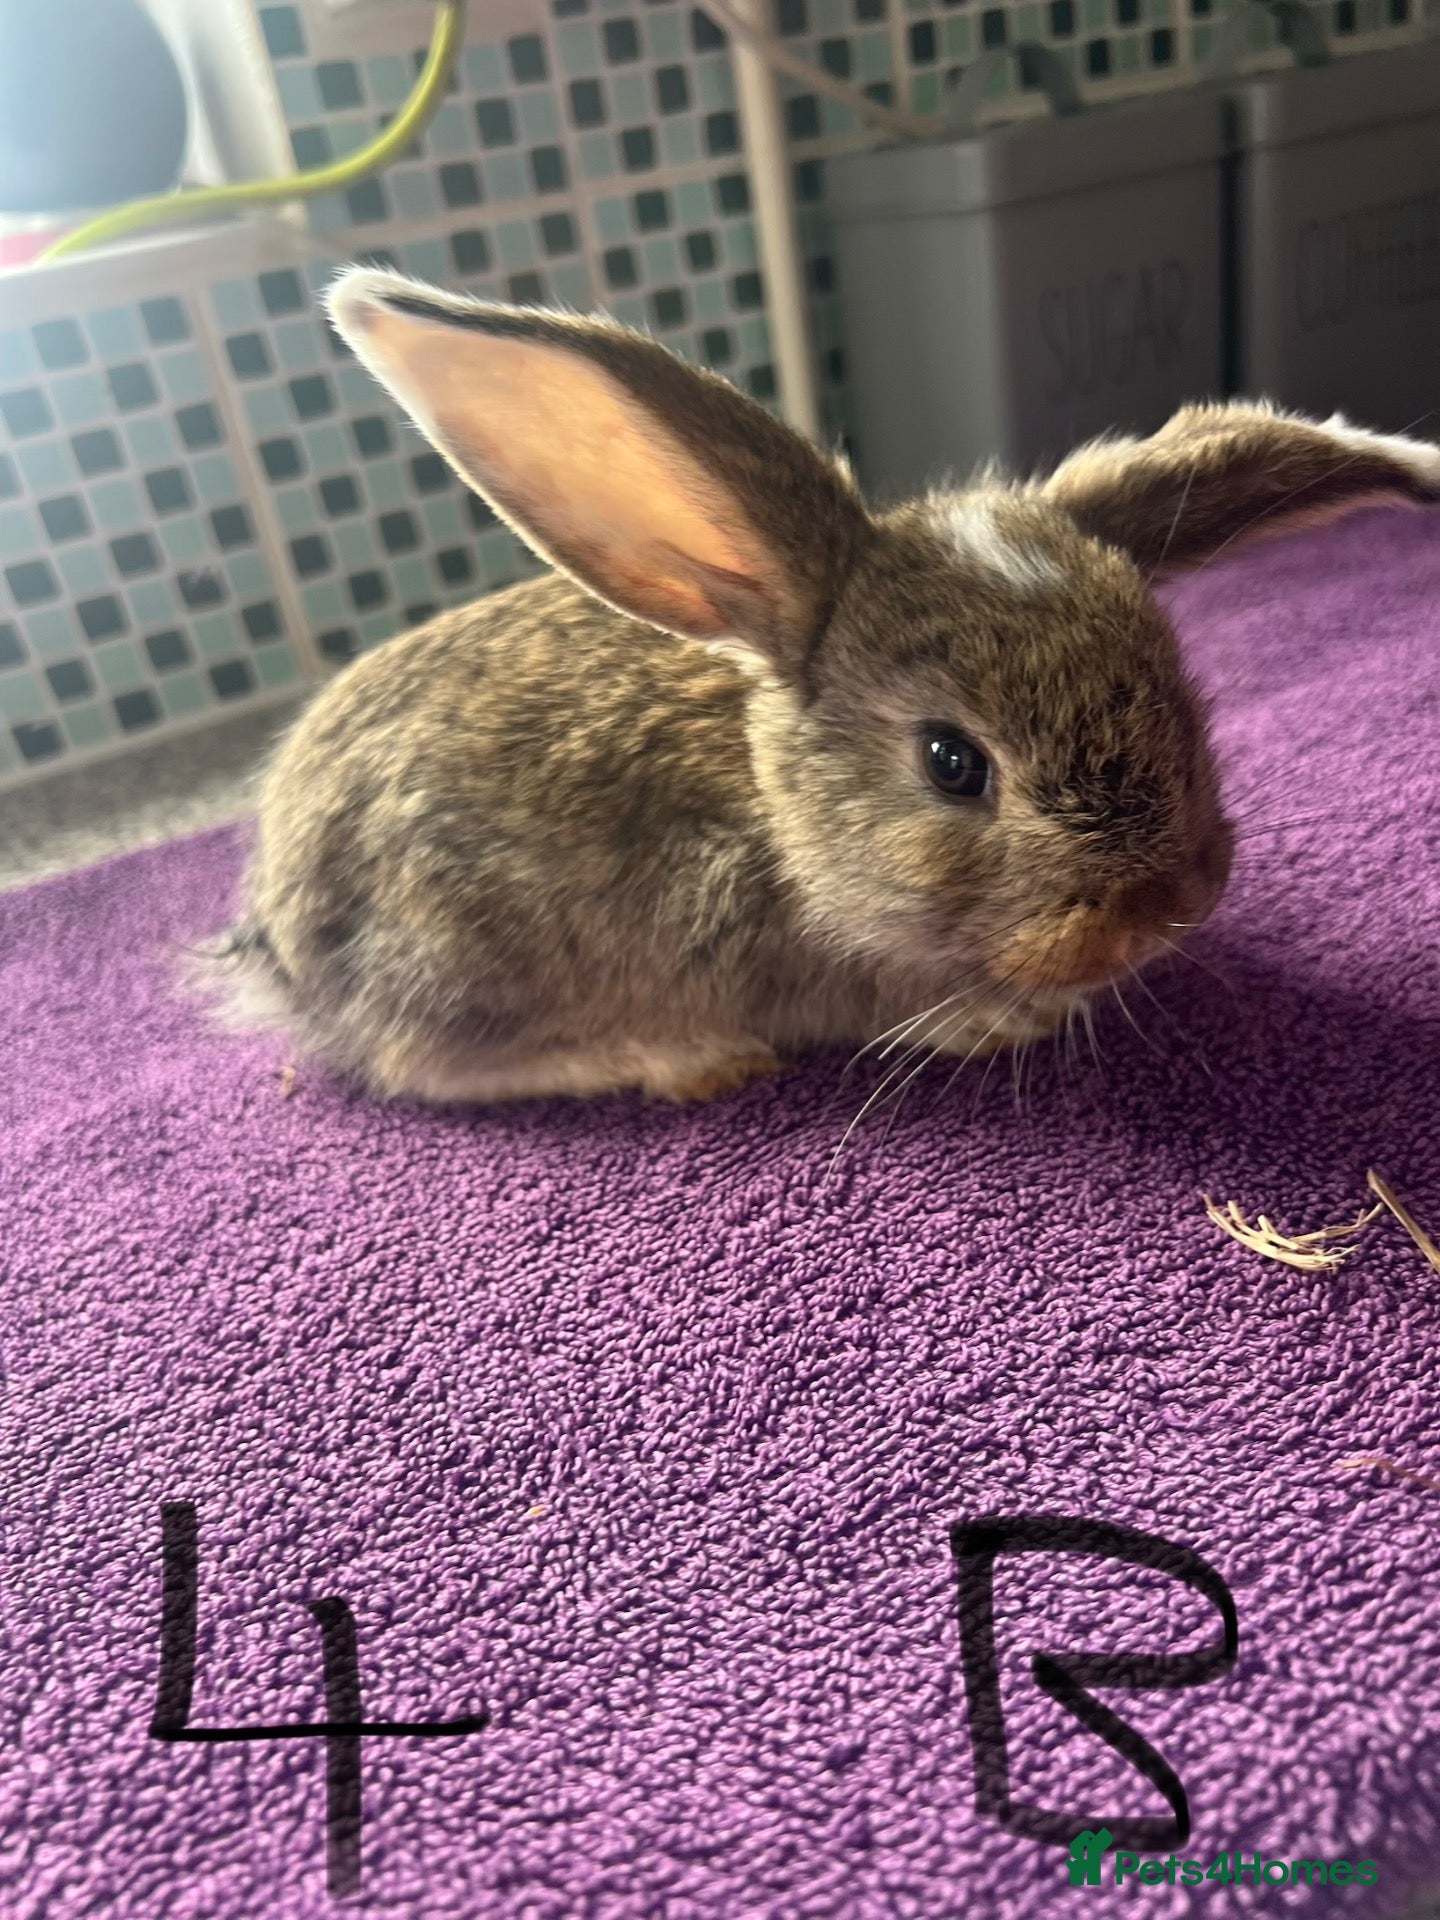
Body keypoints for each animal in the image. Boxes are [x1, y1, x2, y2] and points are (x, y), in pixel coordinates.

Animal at [210, 265, 1440, 1105]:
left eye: (1181, 693)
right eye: (952, 763)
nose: (1169, 904)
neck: (779, 825)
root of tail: (276, 924)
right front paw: (1000, 1024)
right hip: (455, 955)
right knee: (424, 1061)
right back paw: (679, 1054)